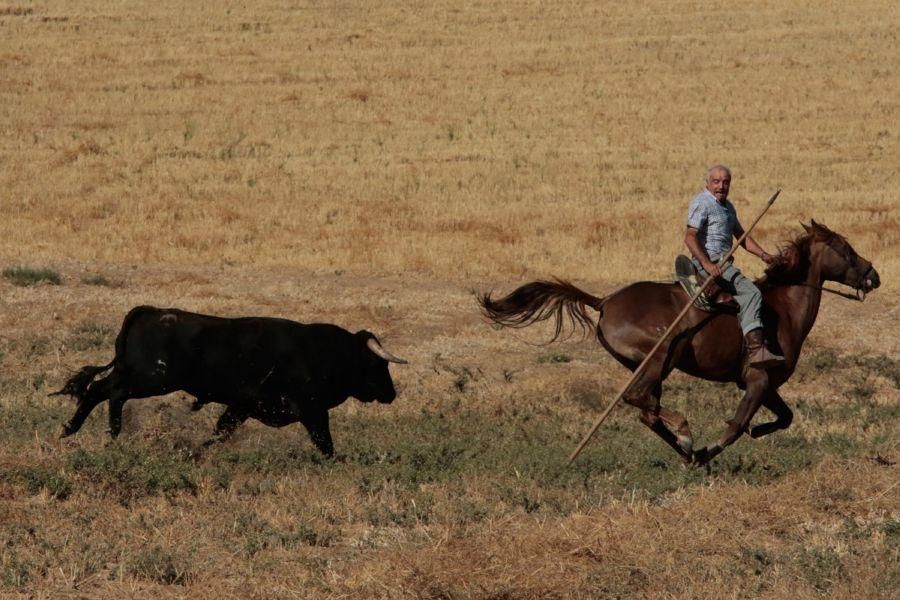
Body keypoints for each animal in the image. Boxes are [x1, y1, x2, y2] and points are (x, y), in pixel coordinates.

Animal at [51, 304, 410, 454]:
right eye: (378, 365)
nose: (391, 393)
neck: (327, 353)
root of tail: (149, 310)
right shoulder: (312, 411)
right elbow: (325, 444)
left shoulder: (242, 406)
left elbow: (221, 432)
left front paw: (196, 450)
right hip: (150, 379)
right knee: (109, 392)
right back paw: (107, 430)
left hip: (137, 375)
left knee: (100, 391)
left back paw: (77, 429)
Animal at [482, 223, 884, 466]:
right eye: (846, 249)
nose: (874, 275)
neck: (782, 308)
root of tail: (604, 301)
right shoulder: (757, 380)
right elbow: (737, 424)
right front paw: (710, 450)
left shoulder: (767, 385)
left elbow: (785, 418)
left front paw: (752, 433)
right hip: (660, 358)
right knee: (641, 402)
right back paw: (688, 438)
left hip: (648, 366)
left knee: (647, 410)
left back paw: (685, 449)